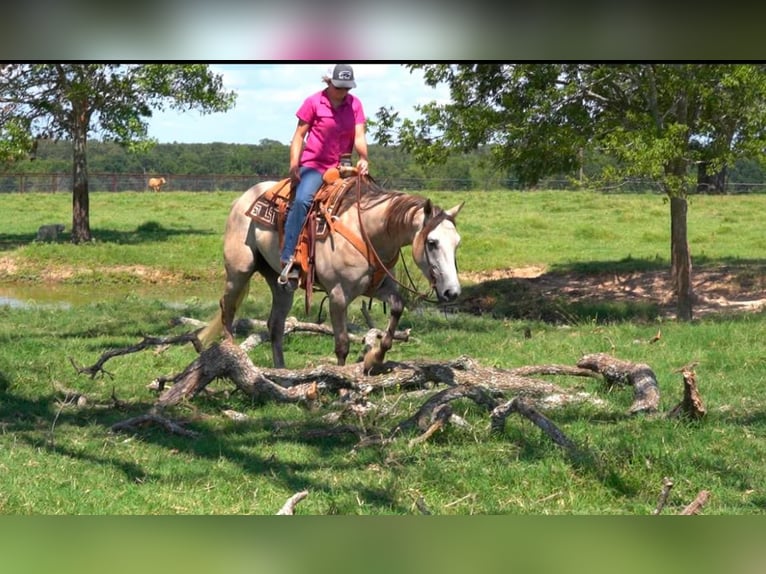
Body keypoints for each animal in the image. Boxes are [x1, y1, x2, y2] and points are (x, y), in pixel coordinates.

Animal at [197, 176, 464, 373]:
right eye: (432, 242)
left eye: (457, 243)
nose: (452, 292)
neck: (369, 232)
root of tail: (241, 199)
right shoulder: (338, 295)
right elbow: (342, 344)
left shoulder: (379, 288)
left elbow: (397, 307)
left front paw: (375, 358)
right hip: (239, 271)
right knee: (227, 308)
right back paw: (232, 356)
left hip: (280, 283)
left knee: (275, 324)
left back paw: (281, 370)